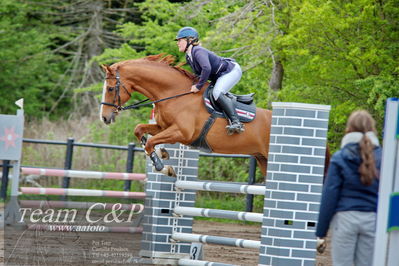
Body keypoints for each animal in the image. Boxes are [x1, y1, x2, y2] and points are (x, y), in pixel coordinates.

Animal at [101, 54, 274, 178]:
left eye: (110, 89)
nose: (104, 118)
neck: (173, 93)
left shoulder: (181, 133)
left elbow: (150, 143)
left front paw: (162, 167)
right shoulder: (163, 127)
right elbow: (139, 130)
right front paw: (161, 155)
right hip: (262, 159)